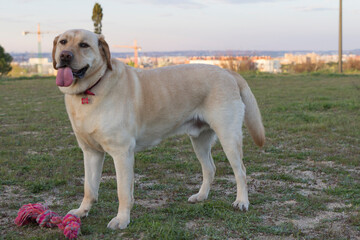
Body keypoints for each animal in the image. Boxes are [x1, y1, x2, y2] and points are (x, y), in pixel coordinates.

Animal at [51, 29, 264, 230]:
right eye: (63, 42)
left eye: (84, 45)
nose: (65, 56)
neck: (90, 90)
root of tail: (228, 72)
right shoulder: (91, 152)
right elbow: (89, 187)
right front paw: (82, 211)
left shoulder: (122, 153)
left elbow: (122, 192)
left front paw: (122, 219)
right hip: (199, 140)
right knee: (210, 168)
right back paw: (201, 196)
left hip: (229, 137)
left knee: (241, 171)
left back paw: (242, 201)